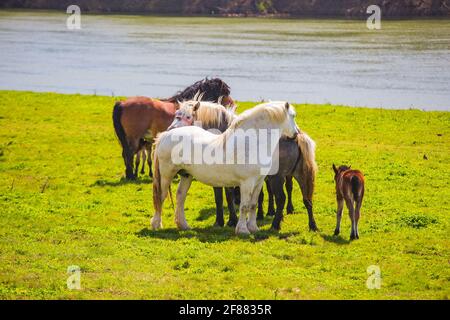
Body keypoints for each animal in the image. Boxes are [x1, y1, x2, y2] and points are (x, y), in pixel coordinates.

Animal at [167, 100, 239, 228]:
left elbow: (229, 195)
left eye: (188, 116)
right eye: (176, 114)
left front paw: (232, 221)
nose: (170, 130)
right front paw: (219, 222)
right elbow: (218, 197)